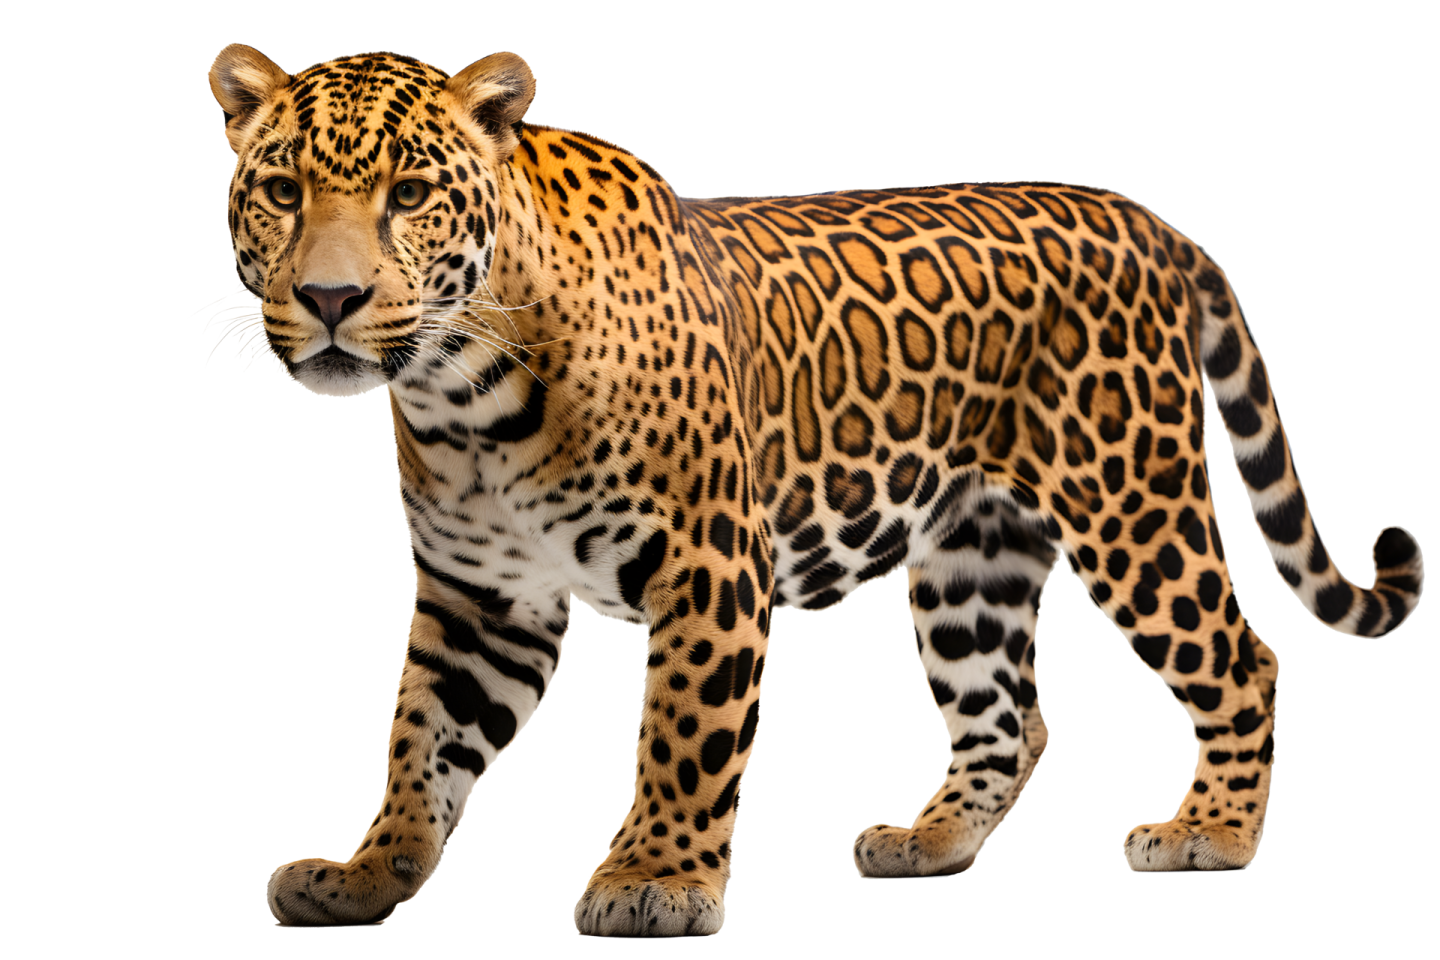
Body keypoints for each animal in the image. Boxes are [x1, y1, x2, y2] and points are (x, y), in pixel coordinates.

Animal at [203, 43, 1425, 933]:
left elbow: (682, 737)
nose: (328, 299)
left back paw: (1209, 833)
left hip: (1133, 502)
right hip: (972, 554)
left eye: (411, 194)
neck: (462, 389)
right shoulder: (484, 600)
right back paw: (927, 845)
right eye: (282, 190)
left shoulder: (707, 570)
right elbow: (420, 739)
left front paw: (654, 882)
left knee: (1243, 659)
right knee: (1011, 715)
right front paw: (371, 871)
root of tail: (1152, 221)